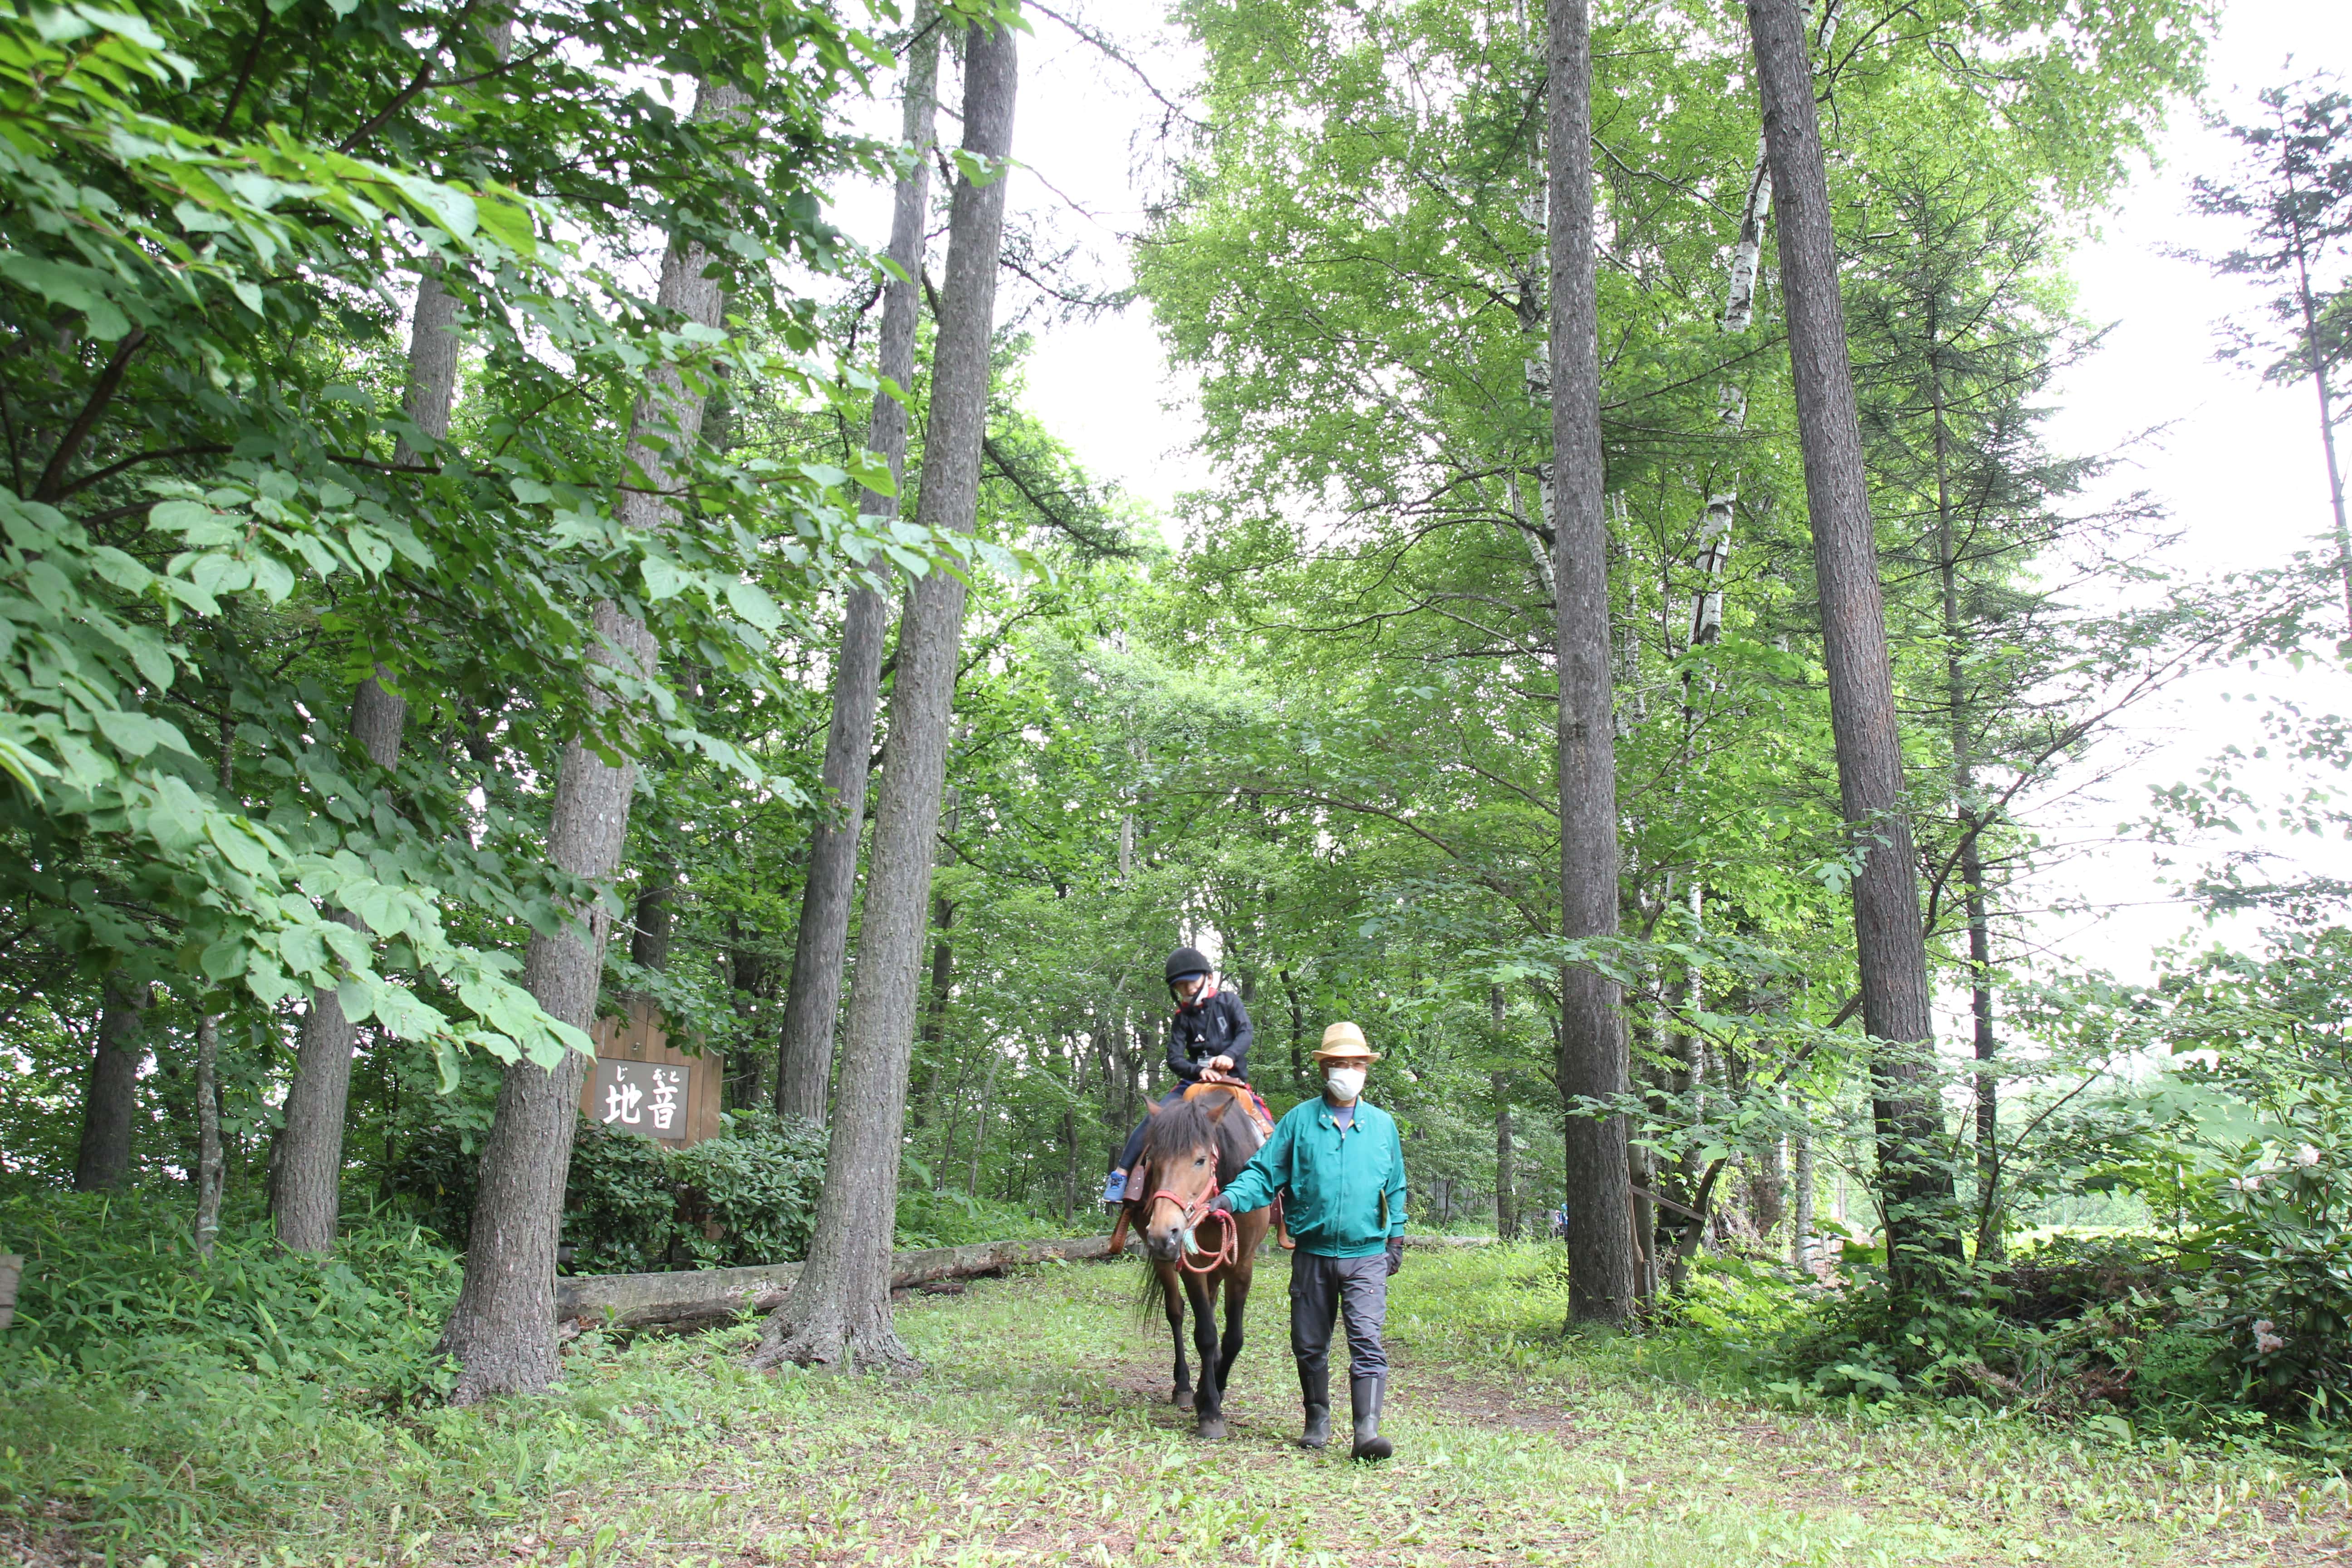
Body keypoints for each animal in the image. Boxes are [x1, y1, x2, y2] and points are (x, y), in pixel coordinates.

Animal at [1124, 1086, 1270, 1439]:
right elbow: (1204, 1333)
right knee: (1176, 1313)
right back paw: (1185, 1387)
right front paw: (1210, 1410)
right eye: (1153, 1160)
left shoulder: (1242, 1265)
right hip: (1167, 1261)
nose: (1163, 1233)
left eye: (1200, 1160)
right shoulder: (1188, 1262)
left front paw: (1216, 1386)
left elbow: (1233, 1338)